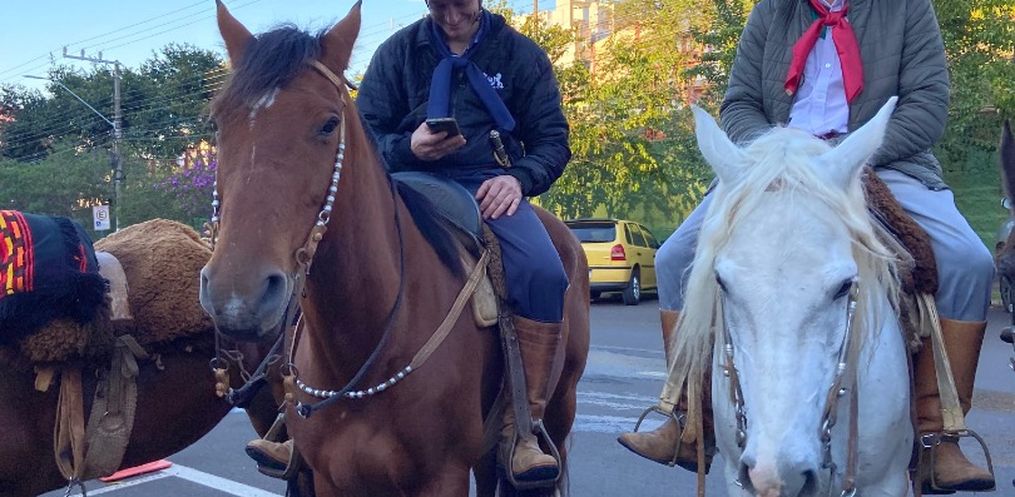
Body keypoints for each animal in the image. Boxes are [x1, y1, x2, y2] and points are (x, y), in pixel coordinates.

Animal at [198, 2, 590, 496]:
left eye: (328, 123)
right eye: (218, 122)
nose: (237, 294)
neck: (367, 342)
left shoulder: (442, 476)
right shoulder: (330, 477)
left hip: (560, 408)